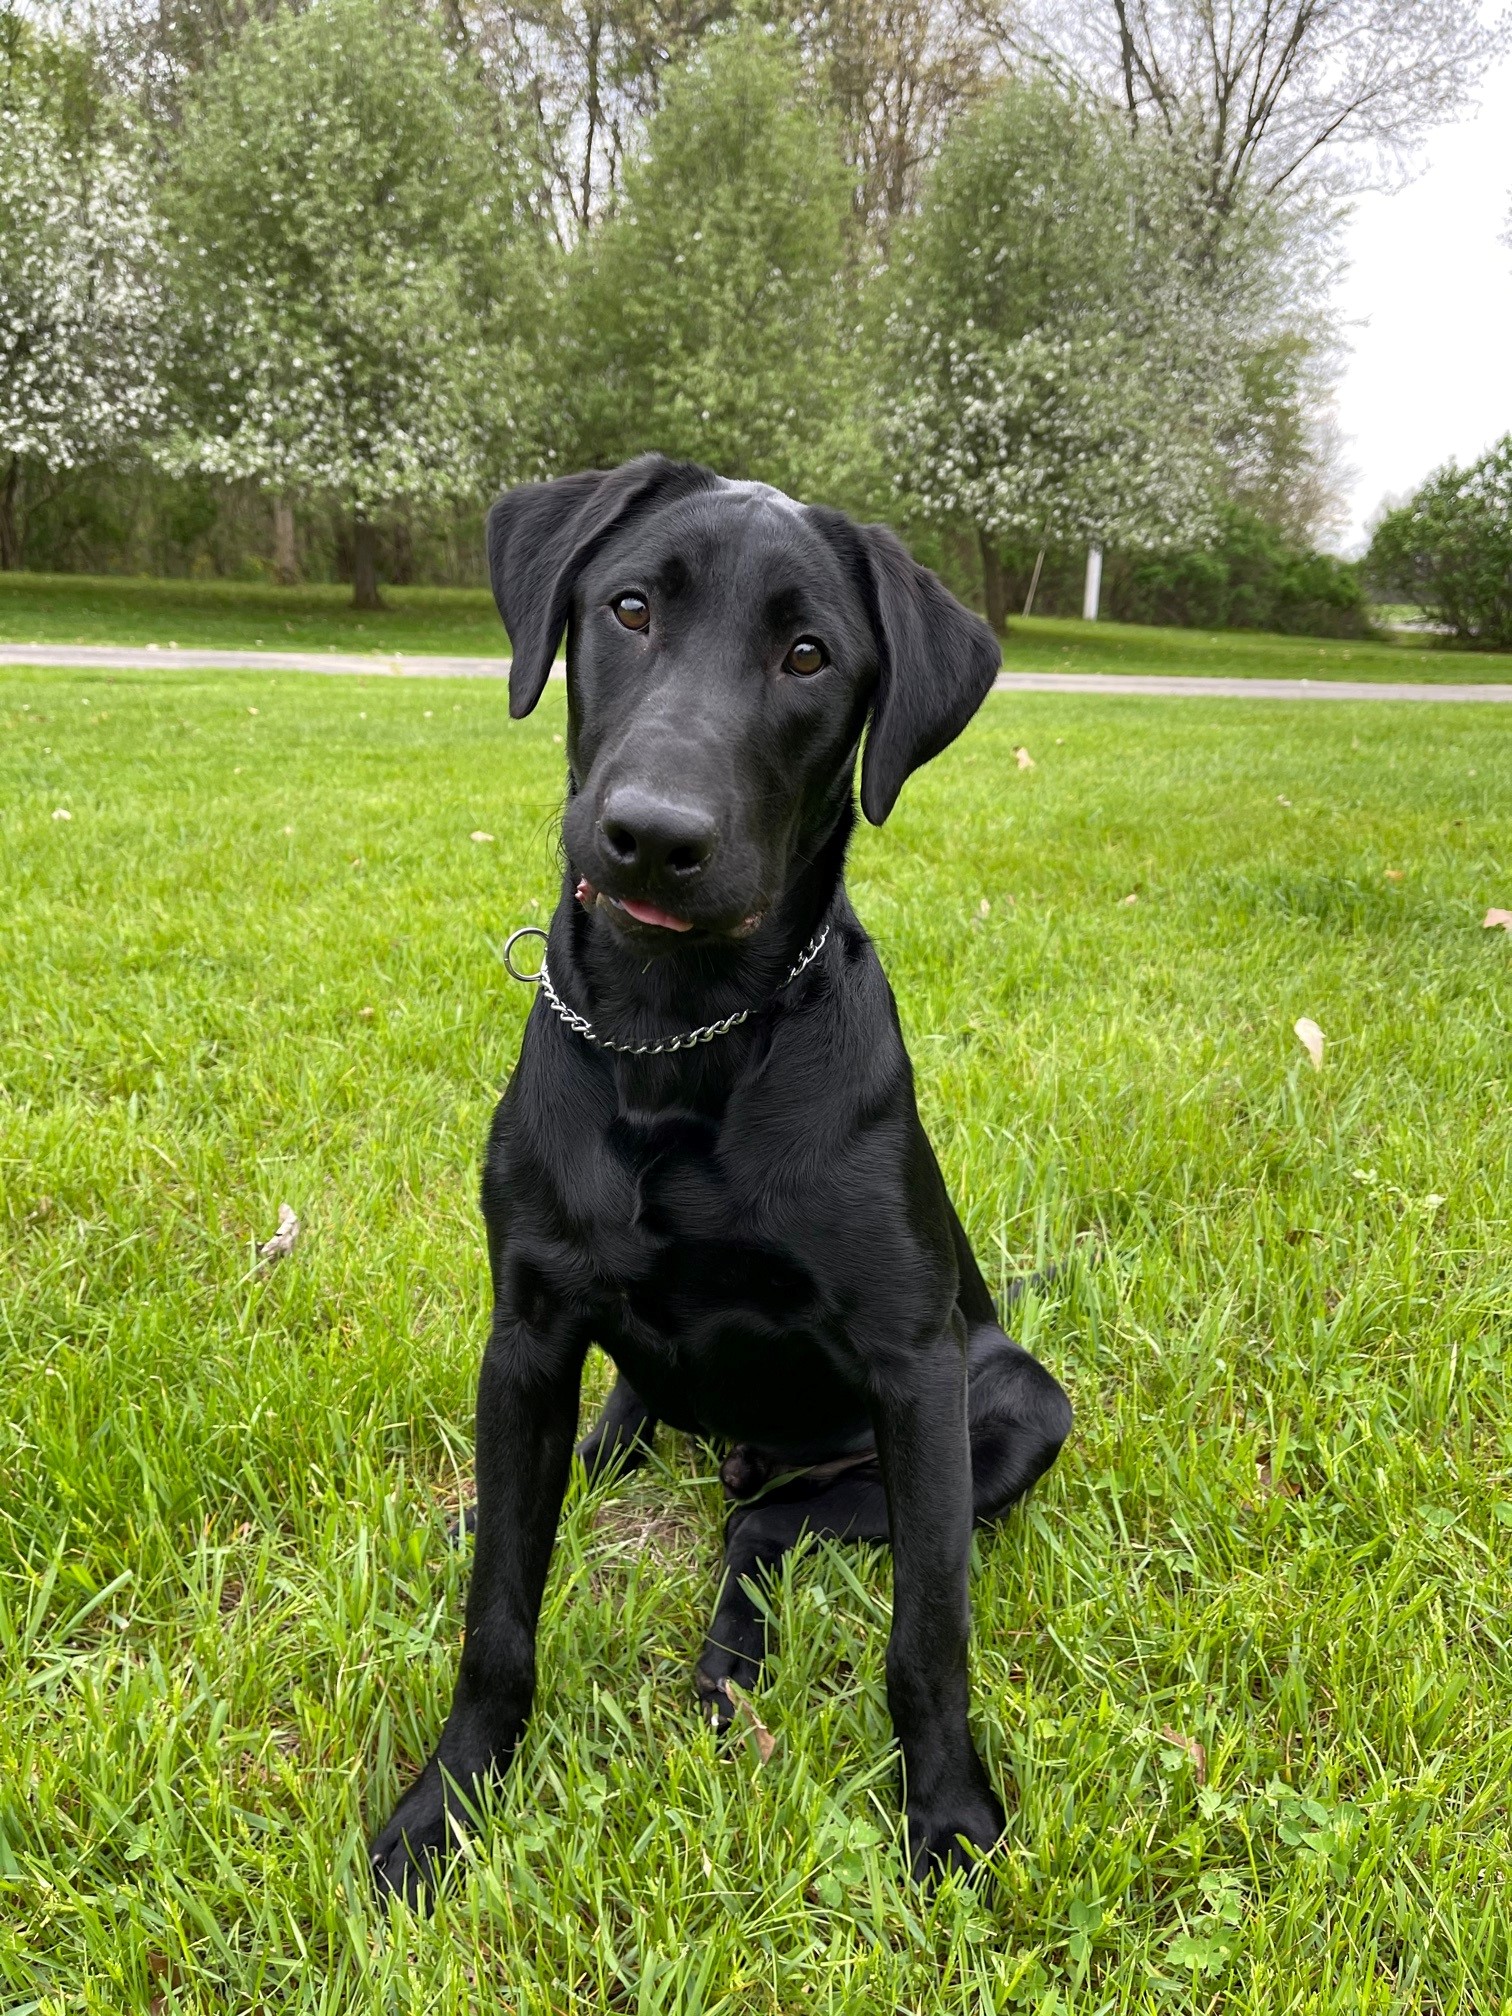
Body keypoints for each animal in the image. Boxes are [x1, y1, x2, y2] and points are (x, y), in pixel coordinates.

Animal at [370, 457, 1072, 1903]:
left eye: (809, 656)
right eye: (630, 608)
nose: (651, 837)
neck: (673, 1040)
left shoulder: (916, 1368)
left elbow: (929, 1636)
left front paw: (949, 1814)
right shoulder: (525, 1333)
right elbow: (499, 1610)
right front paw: (448, 1802)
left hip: (1014, 1404)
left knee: (760, 1533)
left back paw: (729, 1667)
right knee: (630, 1453)